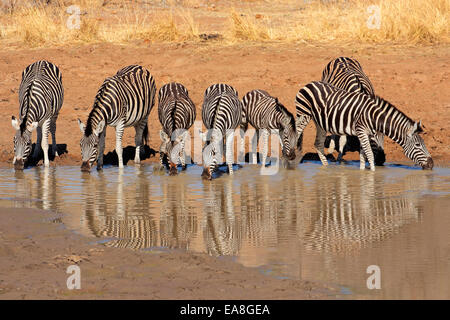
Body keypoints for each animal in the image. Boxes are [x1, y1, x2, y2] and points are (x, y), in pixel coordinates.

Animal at [296, 81, 432, 171]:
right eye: (418, 145)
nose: (432, 164)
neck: (374, 117)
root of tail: (310, 83)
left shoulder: (363, 133)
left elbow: (363, 156)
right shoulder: (361, 131)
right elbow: (370, 155)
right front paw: (373, 176)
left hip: (320, 122)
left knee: (318, 144)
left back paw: (326, 168)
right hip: (303, 114)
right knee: (296, 135)